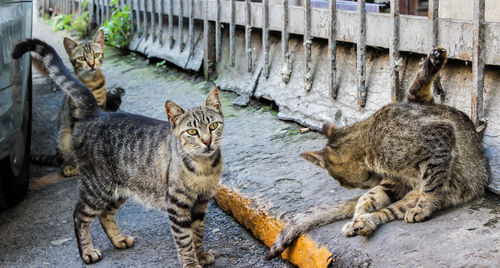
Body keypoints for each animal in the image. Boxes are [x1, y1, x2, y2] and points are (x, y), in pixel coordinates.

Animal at [31, 30, 126, 177]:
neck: (91, 84)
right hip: (63, 136)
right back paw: (69, 167)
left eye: (96, 55)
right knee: (62, 160)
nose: (92, 64)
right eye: (81, 58)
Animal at [266, 47, 488, 260]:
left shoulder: (437, 138)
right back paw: (358, 223)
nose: (345, 185)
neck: (369, 139)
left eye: (341, 182)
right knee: (372, 205)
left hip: (410, 189)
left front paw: (424, 206)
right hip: (392, 183)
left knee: (391, 208)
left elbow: (431, 187)